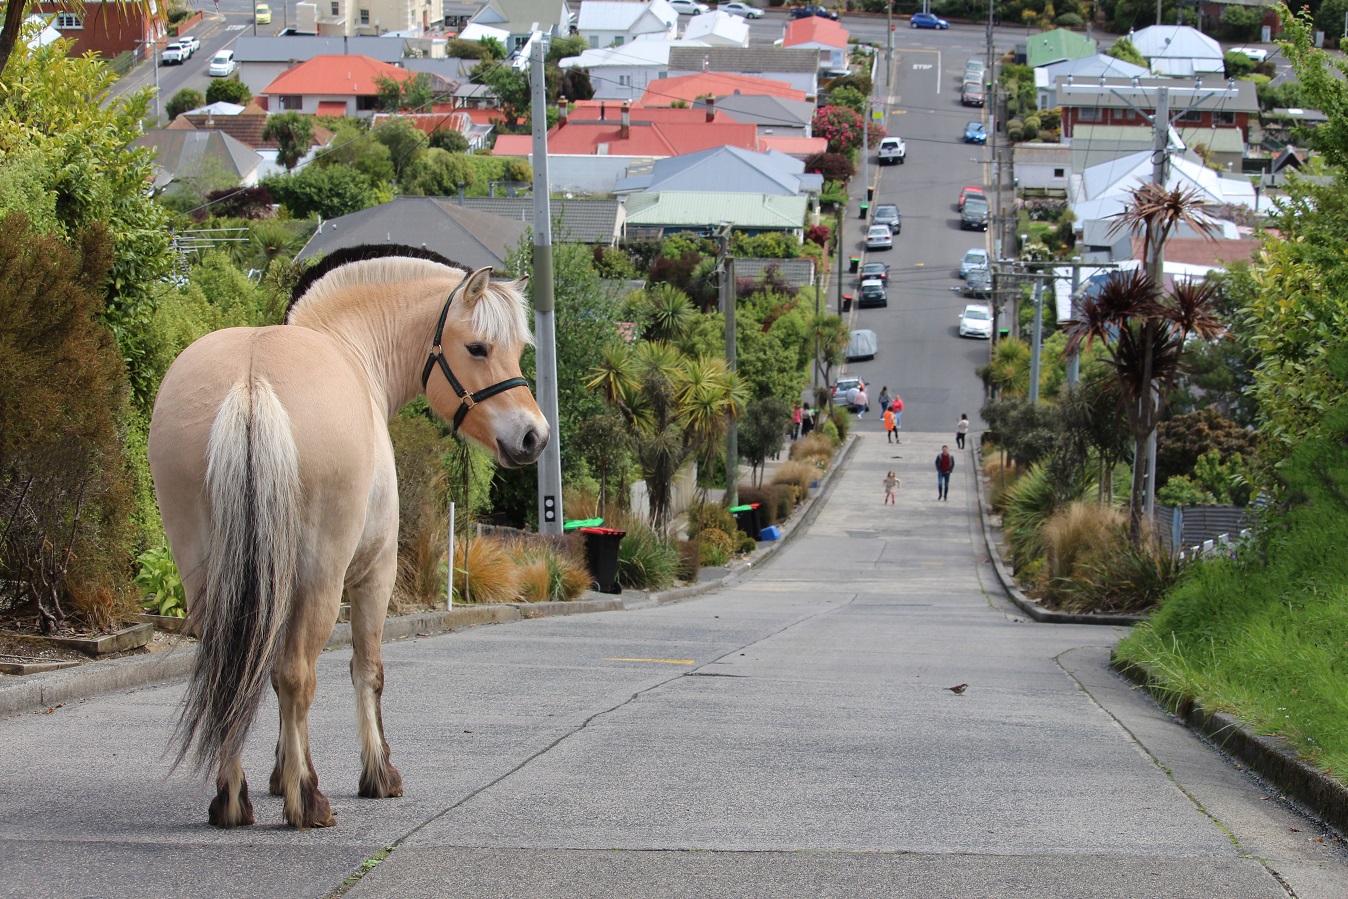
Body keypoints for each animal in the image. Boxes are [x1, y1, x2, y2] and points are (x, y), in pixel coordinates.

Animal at [148, 243, 547, 830]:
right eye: (478, 347)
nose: (533, 436)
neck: (351, 347)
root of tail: (251, 381)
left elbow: (272, 677)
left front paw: (280, 774)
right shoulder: (374, 576)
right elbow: (367, 671)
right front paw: (376, 774)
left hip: (208, 574)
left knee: (232, 671)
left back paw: (232, 799)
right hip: (321, 575)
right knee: (298, 674)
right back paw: (308, 800)